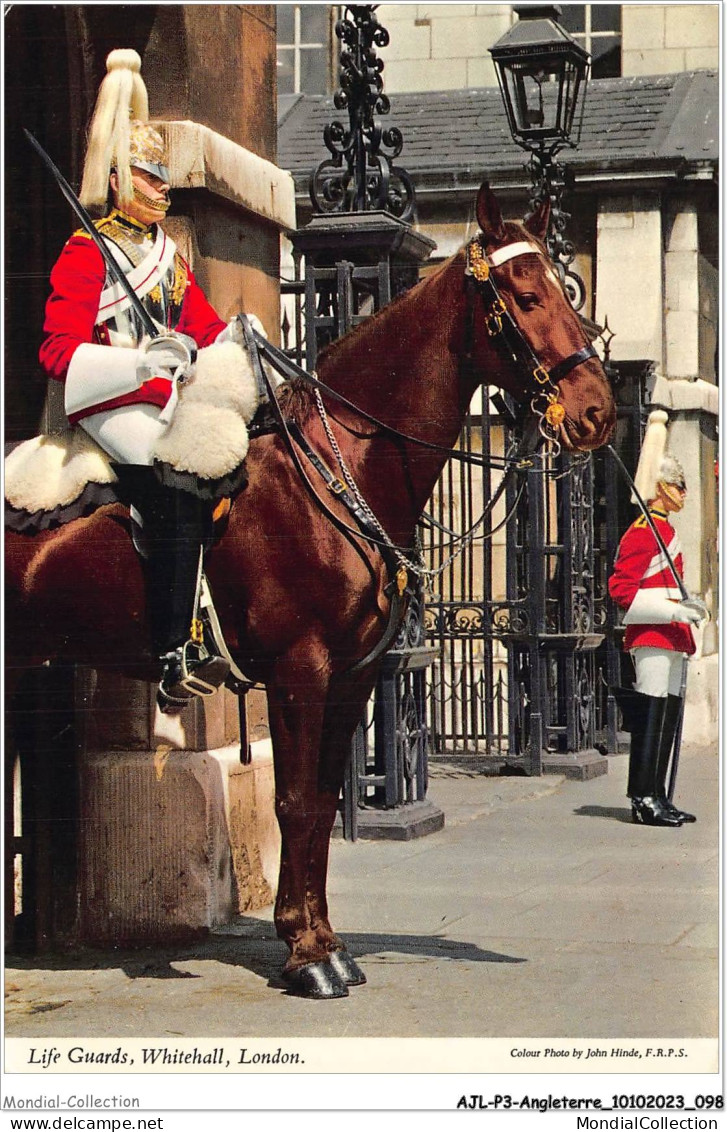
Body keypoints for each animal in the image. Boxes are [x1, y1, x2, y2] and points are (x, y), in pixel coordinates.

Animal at [4, 183, 611, 1000]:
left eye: (564, 290)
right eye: (523, 293)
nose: (596, 411)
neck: (337, 461)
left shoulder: (350, 677)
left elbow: (321, 804)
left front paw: (321, 938)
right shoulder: (300, 671)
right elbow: (293, 802)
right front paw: (306, 955)